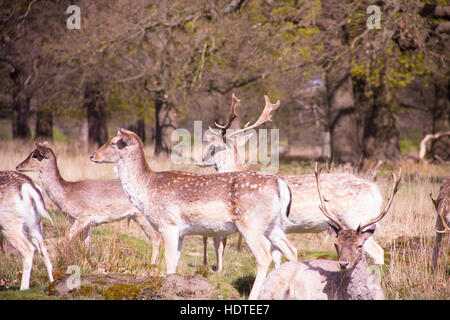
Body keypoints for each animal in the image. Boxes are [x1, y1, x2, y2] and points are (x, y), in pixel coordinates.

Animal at [16, 144, 163, 264]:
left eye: (35, 155)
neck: (66, 194)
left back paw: (151, 265)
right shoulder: (88, 223)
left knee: (156, 238)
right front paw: (85, 261)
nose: (18, 166)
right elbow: (85, 244)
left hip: (142, 215)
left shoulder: (83, 216)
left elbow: (66, 238)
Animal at [89, 127, 298, 300]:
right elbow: (174, 263)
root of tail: (279, 183)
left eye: (114, 142)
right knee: (291, 250)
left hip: (251, 224)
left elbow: (169, 262)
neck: (147, 189)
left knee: (264, 257)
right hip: (273, 225)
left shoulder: (168, 225)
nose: (92, 155)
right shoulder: (181, 232)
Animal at [197, 93, 386, 270]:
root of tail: (376, 192)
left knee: (377, 251)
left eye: (212, 148)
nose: (199, 159)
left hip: (354, 218)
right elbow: (276, 257)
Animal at [256, 165, 400, 300]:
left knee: (377, 250)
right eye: (336, 244)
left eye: (360, 245)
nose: (343, 264)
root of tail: (375, 192)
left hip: (354, 218)